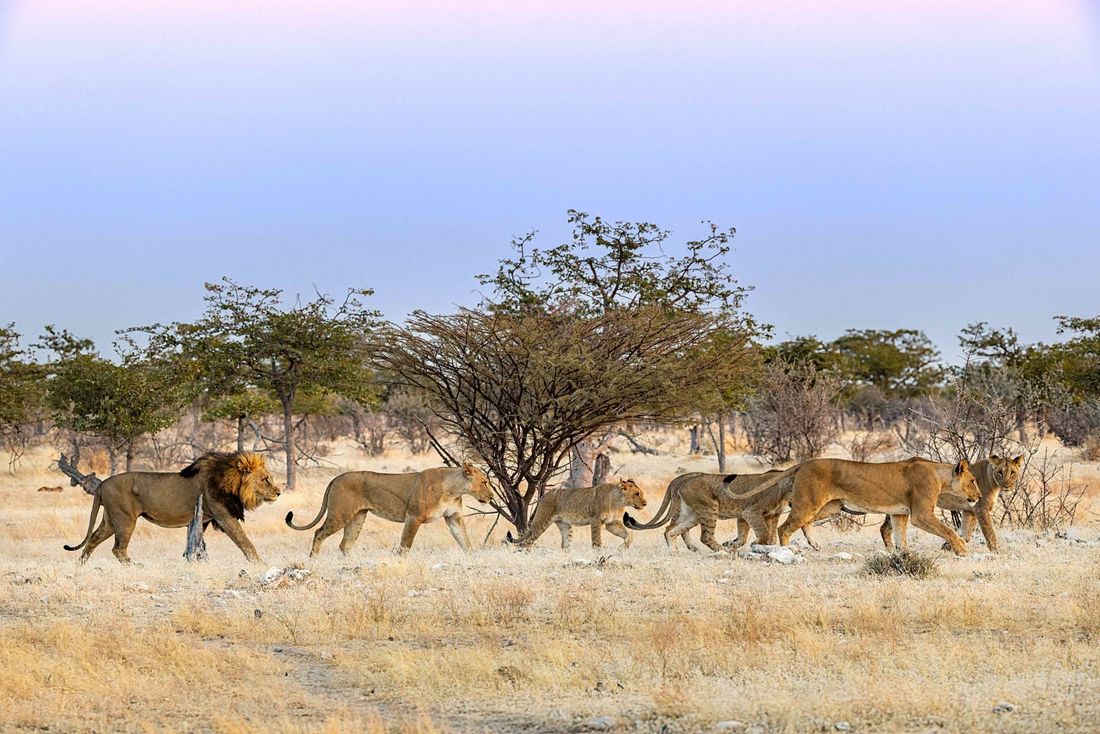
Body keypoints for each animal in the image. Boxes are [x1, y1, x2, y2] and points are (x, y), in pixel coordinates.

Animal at [64, 452, 282, 564]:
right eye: (265, 479)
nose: (279, 492)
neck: (230, 482)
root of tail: (102, 484)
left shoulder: (201, 519)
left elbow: (193, 543)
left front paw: (190, 559)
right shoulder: (224, 517)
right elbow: (245, 542)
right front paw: (260, 564)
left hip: (110, 520)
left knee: (93, 539)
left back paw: (80, 565)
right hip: (125, 520)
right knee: (118, 549)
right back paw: (135, 566)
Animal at [285, 462, 493, 555]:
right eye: (484, 482)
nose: (491, 497)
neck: (453, 489)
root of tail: (335, 478)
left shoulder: (453, 518)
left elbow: (465, 541)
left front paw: (472, 558)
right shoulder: (413, 517)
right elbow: (405, 545)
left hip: (357, 517)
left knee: (345, 544)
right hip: (340, 514)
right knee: (319, 533)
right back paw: (313, 560)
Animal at [506, 479, 647, 550]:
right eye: (637, 494)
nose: (645, 503)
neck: (618, 502)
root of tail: (545, 495)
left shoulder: (611, 523)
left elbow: (628, 534)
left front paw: (623, 547)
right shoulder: (596, 521)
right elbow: (596, 541)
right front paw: (598, 554)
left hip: (565, 525)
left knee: (565, 545)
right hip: (542, 522)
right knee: (527, 542)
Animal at [734, 458, 980, 555]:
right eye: (973, 481)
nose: (978, 496)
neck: (940, 475)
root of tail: (805, 462)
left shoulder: (899, 514)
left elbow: (900, 537)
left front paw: (905, 554)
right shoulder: (921, 514)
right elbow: (948, 531)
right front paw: (961, 550)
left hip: (829, 506)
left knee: (804, 523)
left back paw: (815, 545)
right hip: (809, 503)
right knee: (784, 528)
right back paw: (789, 552)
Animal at [878, 455, 1022, 552]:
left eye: (1013, 473)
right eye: (1000, 473)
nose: (1007, 486)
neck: (993, 482)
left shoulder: (969, 511)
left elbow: (966, 535)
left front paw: (948, 546)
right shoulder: (981, 509)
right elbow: (990, 534)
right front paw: (997, 552)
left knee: (885, 528)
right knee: (884, 528)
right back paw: (892, 551)